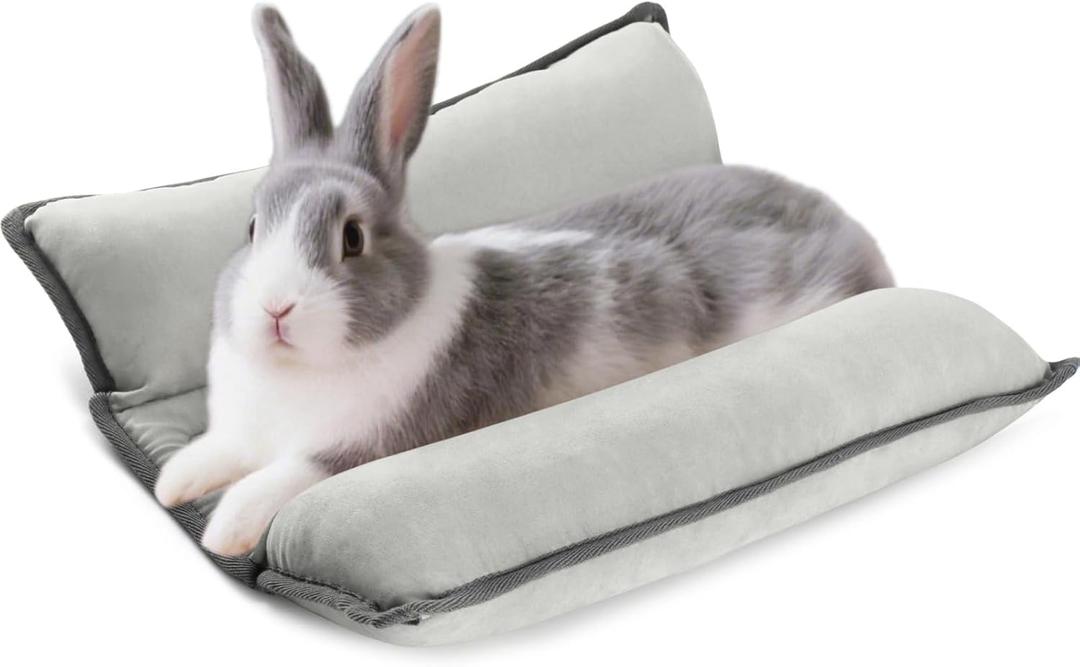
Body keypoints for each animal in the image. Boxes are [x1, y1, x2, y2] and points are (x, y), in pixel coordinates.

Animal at [154, 4, 894, 557]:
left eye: (353, 238)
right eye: (253, 228)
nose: (276, 310)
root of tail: (848, 230)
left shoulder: (364, 446)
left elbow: (283, 478)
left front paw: (223, 531)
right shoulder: (242, 433)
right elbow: (214, 452)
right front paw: (172, 484)